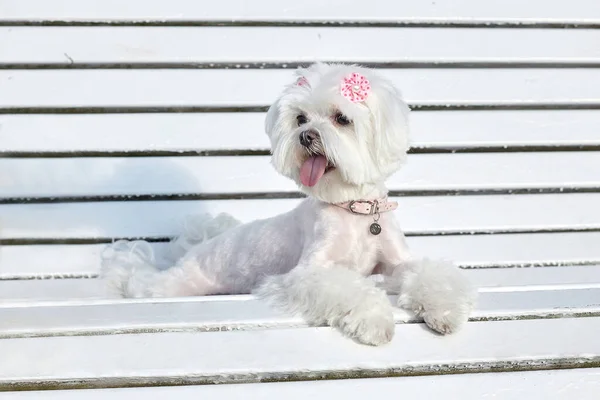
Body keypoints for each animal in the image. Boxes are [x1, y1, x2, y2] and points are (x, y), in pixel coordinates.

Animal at [103, 64, 478, 346]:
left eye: (342, 118)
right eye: (300, 119)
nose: (306, 136)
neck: (354, 209)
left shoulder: (397, 263)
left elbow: (427, 274)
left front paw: (444, 311)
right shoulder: (309, 274)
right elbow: (349, 289)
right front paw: (375, 322)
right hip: (175, 284)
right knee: (140, 281)